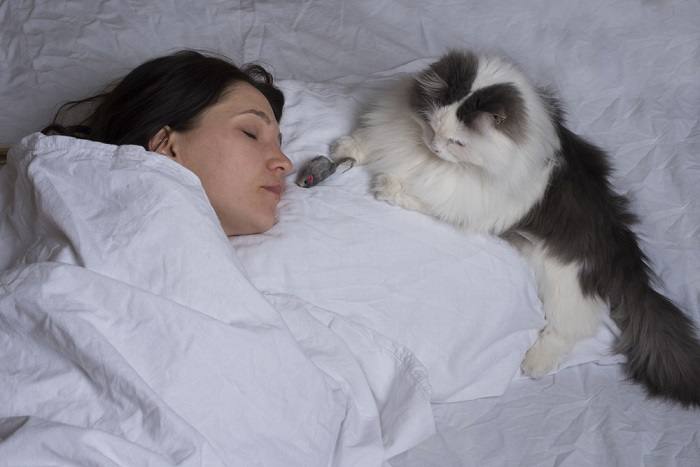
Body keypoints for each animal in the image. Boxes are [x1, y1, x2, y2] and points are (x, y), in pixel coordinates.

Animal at [332, 48, 700, 406]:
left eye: (457, 143)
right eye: (432, 126)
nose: (434, 147)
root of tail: (625, 253)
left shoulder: (467, 204)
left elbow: (421, 197)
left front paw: (387, 187)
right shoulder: (393, 135)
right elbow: (370, 142)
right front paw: (345, 150)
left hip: (565, 281)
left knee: (573, 327)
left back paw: (535, 363)